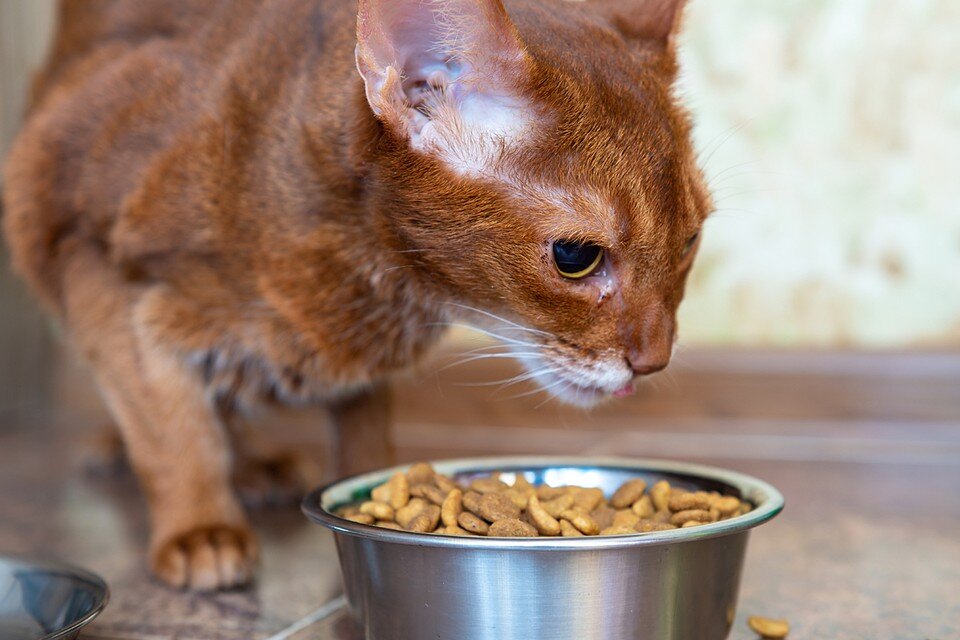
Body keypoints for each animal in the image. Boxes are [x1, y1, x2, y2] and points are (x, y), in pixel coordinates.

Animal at [3, 0, 712, 592]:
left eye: (690, 240)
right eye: (575, 257)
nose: (655, 360)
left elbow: (365, 422)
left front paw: (381, 484)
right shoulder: (87, 251)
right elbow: (170, 426)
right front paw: (201, 528)